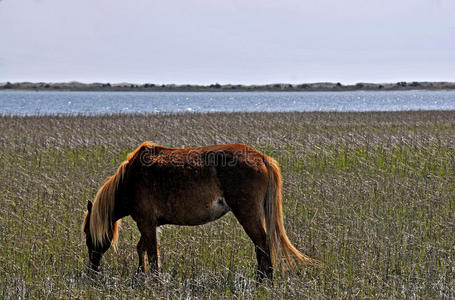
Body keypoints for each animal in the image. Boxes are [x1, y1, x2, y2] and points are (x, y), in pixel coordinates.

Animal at [80, 142, 318, 280]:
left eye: (86, 232)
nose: (93, 269)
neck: (129, 179)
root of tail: (260, 157)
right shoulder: (150, 224)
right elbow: (142, 249)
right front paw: (141, 274)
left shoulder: (145, 222)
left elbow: (152, 252)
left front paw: (153, 280)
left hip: (247, 213)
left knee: (262, 243)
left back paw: (264, 279)